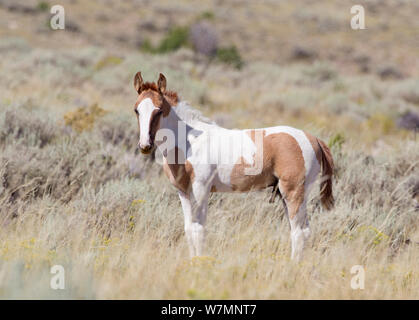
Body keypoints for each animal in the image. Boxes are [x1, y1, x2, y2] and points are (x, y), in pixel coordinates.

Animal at [132, 70, 334, 260]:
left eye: (159, 110)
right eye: (136, 110)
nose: (145, 145)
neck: (190, 141)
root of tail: (313, 139)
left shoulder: (201, 190)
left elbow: (199, 230)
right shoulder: (183, 192)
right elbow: (189, 230)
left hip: (294, 193)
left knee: (300, 232)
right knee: (300, 230)